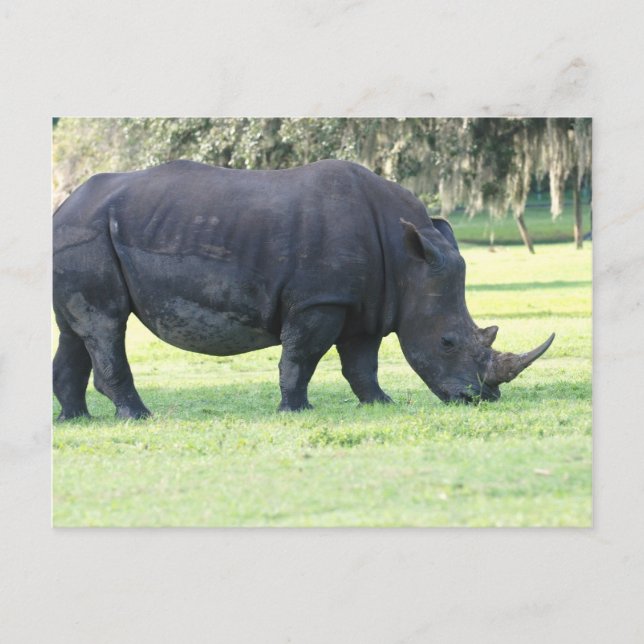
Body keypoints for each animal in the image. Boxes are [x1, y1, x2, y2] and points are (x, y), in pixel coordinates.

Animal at [53, 159, 554, 420]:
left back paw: (76, 420)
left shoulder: (367, 302)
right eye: (447, 342)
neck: (407, 260)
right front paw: (295, 411)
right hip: (89, 232)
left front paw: (381, 404)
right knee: (106, 324)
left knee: (77, 331)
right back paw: (138, 416)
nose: (480, 398)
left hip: (84, 232)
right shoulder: (321, 300)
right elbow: (302, 357)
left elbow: (362, 363)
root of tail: (64, 205)